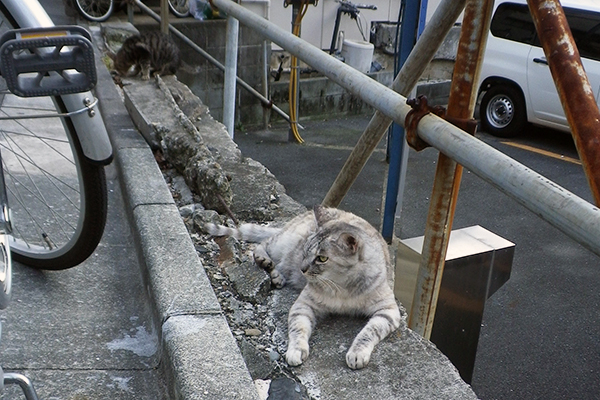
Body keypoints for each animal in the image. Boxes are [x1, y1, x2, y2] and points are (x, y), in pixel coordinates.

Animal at [209, 206, 400, 368]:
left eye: (322, 258)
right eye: (306, 251)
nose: (302, 269)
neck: (341, 287)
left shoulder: (388, 311)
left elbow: (369, 332)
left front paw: (357, 353)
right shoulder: (303, 305)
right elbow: (298, 329)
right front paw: (296, 351)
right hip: (282, 243)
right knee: (262, 245)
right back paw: (269, 265)